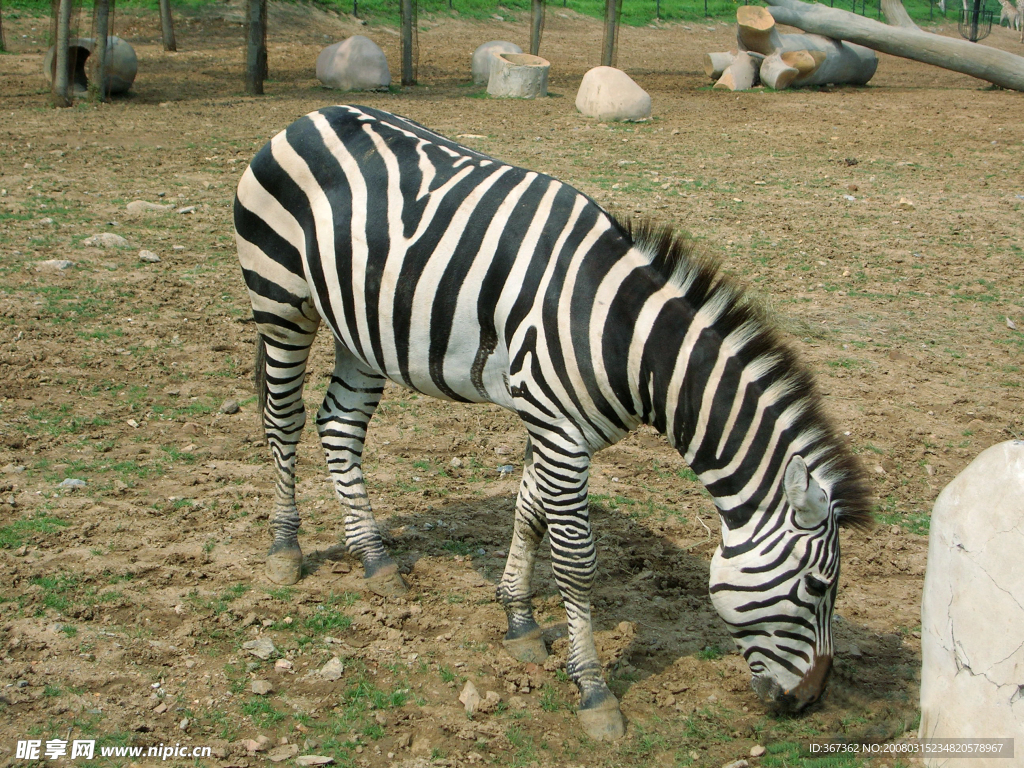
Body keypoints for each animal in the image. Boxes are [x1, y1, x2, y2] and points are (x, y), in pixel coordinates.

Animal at [234, 103, 872, 741]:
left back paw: (374, 559)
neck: (622, 336)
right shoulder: (560, 433)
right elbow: (576, 561)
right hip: (281, 301)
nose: (810, 701)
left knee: (340, 425)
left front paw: (518, 621)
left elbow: (529, 516)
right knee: (283, 420)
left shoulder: (555, 426)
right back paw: (285, 550)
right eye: (818, 587)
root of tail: (312, 114)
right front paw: (593, 689)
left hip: (360, 324)